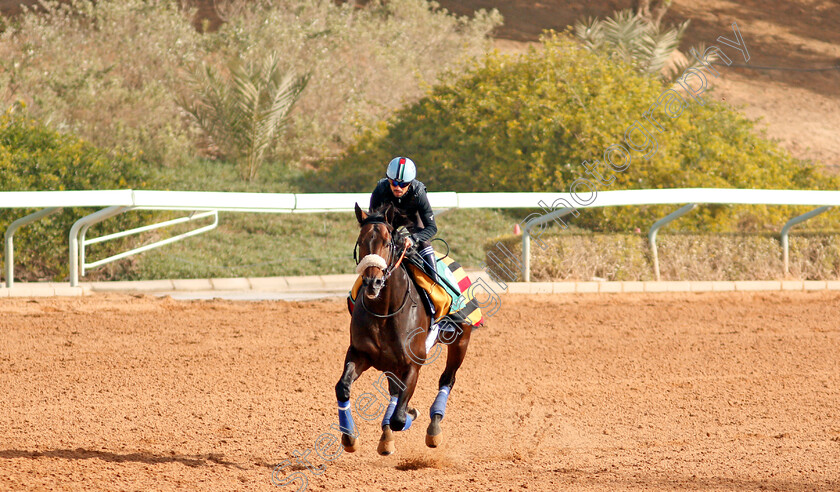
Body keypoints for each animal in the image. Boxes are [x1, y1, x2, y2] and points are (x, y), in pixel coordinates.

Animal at [338, 202, 476, 456]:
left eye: (387, 242)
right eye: (361, 241)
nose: (372, 282)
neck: (385, 312)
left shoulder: (414, 362)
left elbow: (399, 418)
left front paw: (408, 413)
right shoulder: (360, 353)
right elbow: (343, 387)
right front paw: (349, 437)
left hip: (461, 339)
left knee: (447, 379)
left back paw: (433, 428)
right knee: (395, 390)